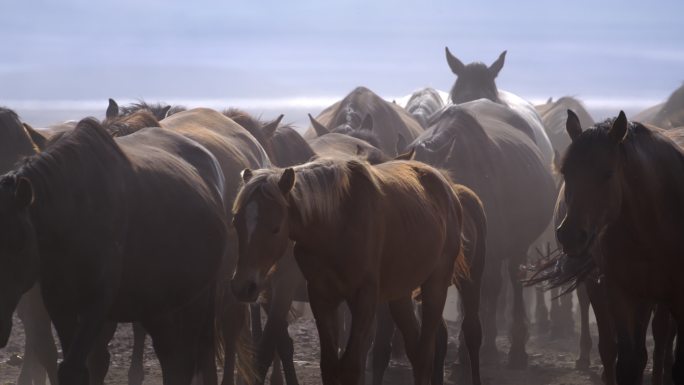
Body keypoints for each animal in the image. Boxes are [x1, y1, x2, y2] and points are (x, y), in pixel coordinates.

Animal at [0, 118, 230, 382]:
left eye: (18, 243)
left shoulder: (97, 302)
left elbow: (75, 368)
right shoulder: (59, 302)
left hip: (197, 300)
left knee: (193, 357)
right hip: (160, 306)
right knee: (172, 358)